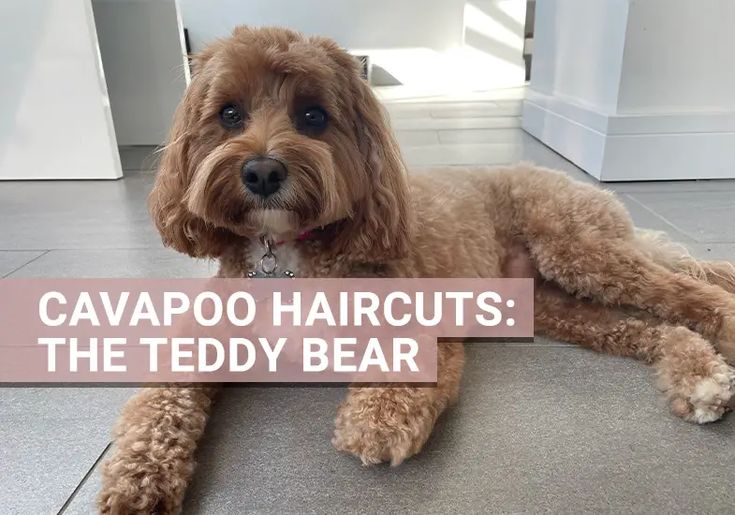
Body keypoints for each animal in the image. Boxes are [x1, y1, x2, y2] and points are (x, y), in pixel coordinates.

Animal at [99, 26, 735, 512]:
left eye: (313, 116)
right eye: (229, 113)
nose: (260, 172)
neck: (285, 255)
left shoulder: (415, 320)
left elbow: (401, 377)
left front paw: (375, 421)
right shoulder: (200, 342)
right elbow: (156, 404)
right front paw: (135, 475)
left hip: (580, 250)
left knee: (689, 292)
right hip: (556, 304)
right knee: (657, 327)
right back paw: (699, 376)